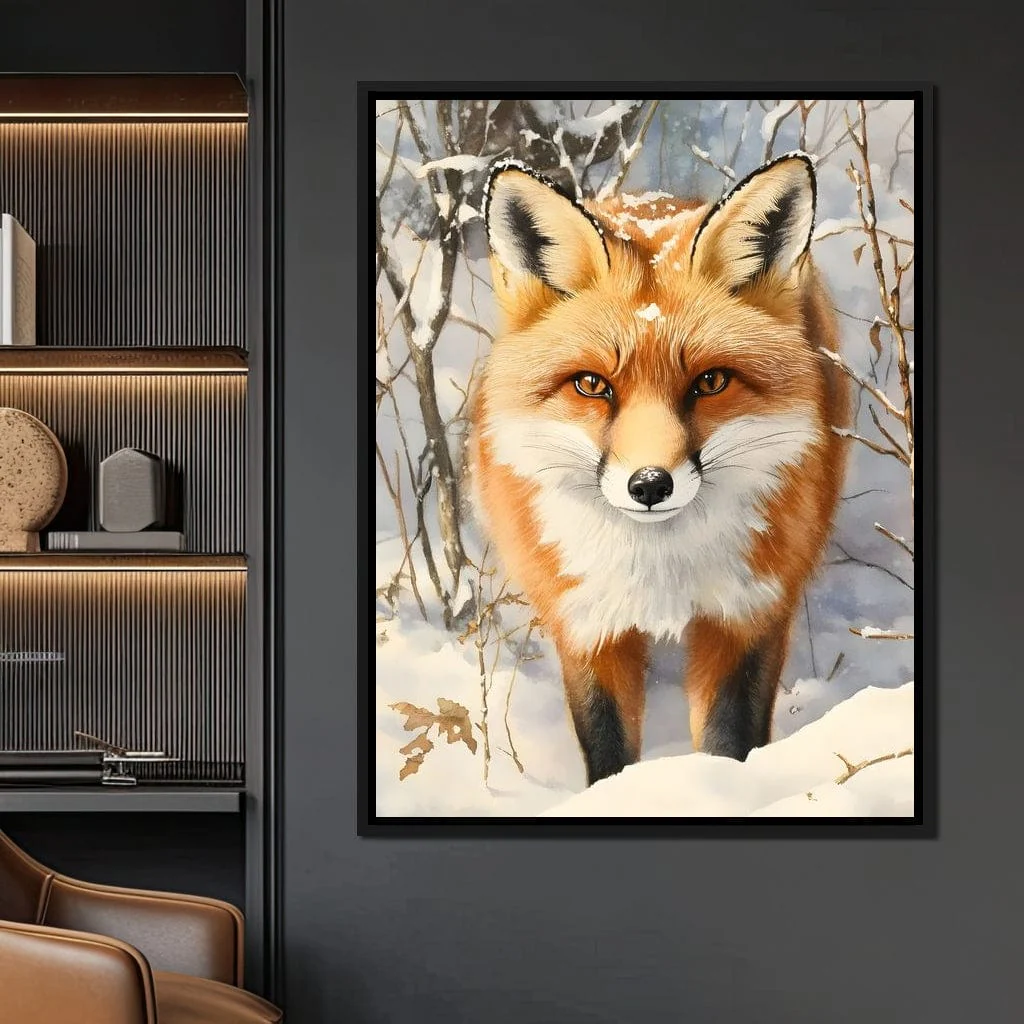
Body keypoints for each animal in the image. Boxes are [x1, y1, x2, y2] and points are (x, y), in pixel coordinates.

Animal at [463, 151, 853, 788]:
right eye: (591, 385)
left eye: (711, 381)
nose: (649, 485)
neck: (659, 569)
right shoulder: (587, 625)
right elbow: (607, 752)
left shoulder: (747, 615)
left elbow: (727, 742)